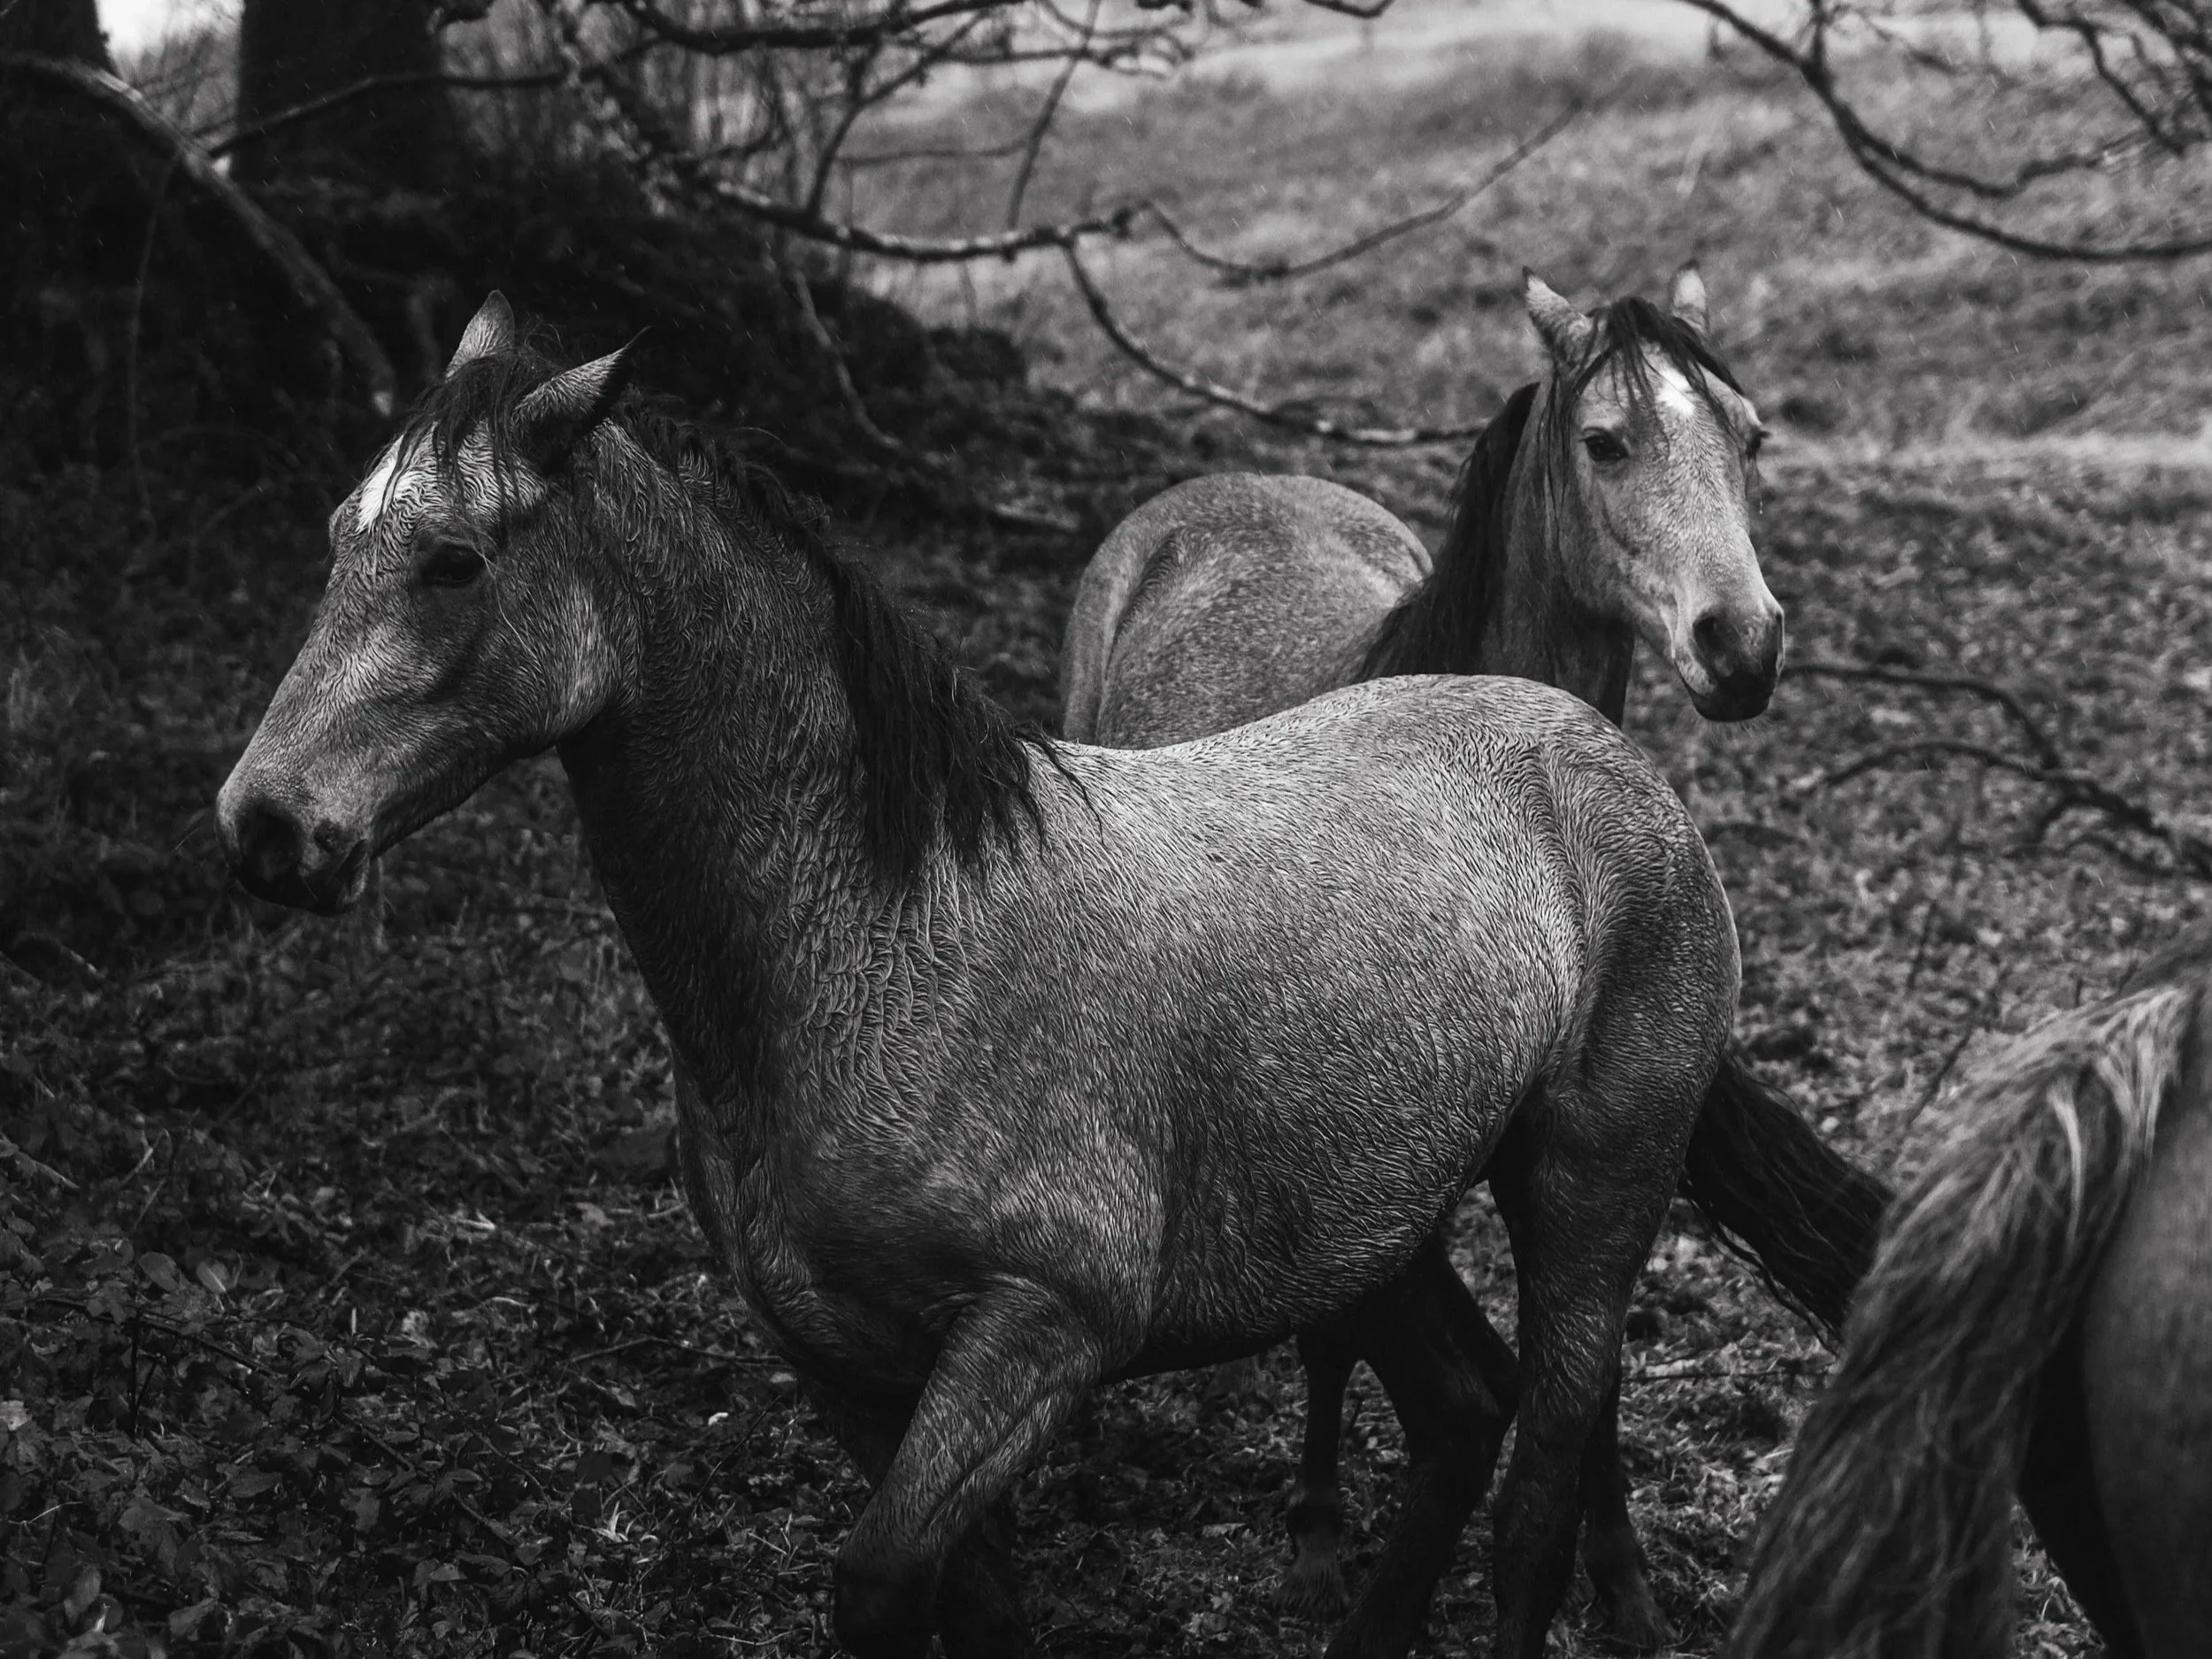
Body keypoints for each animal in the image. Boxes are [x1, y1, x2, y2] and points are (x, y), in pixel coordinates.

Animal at [218, 294, 1745, 1659]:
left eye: (454, 562)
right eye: (341, 538)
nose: (267, 823)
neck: (881, 936)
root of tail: (1600, 749)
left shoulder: (1037, 1334)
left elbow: (883, 1584)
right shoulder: (847, 1365)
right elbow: (978, 1606)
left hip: (1584, 1203)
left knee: (1537, 1494)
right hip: (1374, 1229)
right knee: (1461, 1412)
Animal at [1060, 265, 1890, 1642]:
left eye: (1754, 435)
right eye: (1606, 442)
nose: (1744, 645)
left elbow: (1583, 1374)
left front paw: (1624, 1584)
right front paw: (1326, 1537)